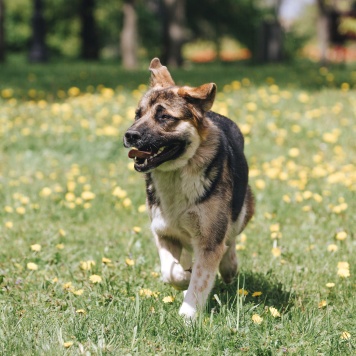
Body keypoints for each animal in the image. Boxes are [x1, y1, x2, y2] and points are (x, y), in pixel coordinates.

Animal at [124, 58, 254, 320]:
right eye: (137, 114)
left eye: (164, 116)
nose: (129, 135)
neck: (176, 174)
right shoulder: (164, 232)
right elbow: (171, 272)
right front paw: (184, 277)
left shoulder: (210, 240)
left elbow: (200, 281)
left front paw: (188, 315)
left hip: (243, 210)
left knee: (231, 240)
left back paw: (228, 266)